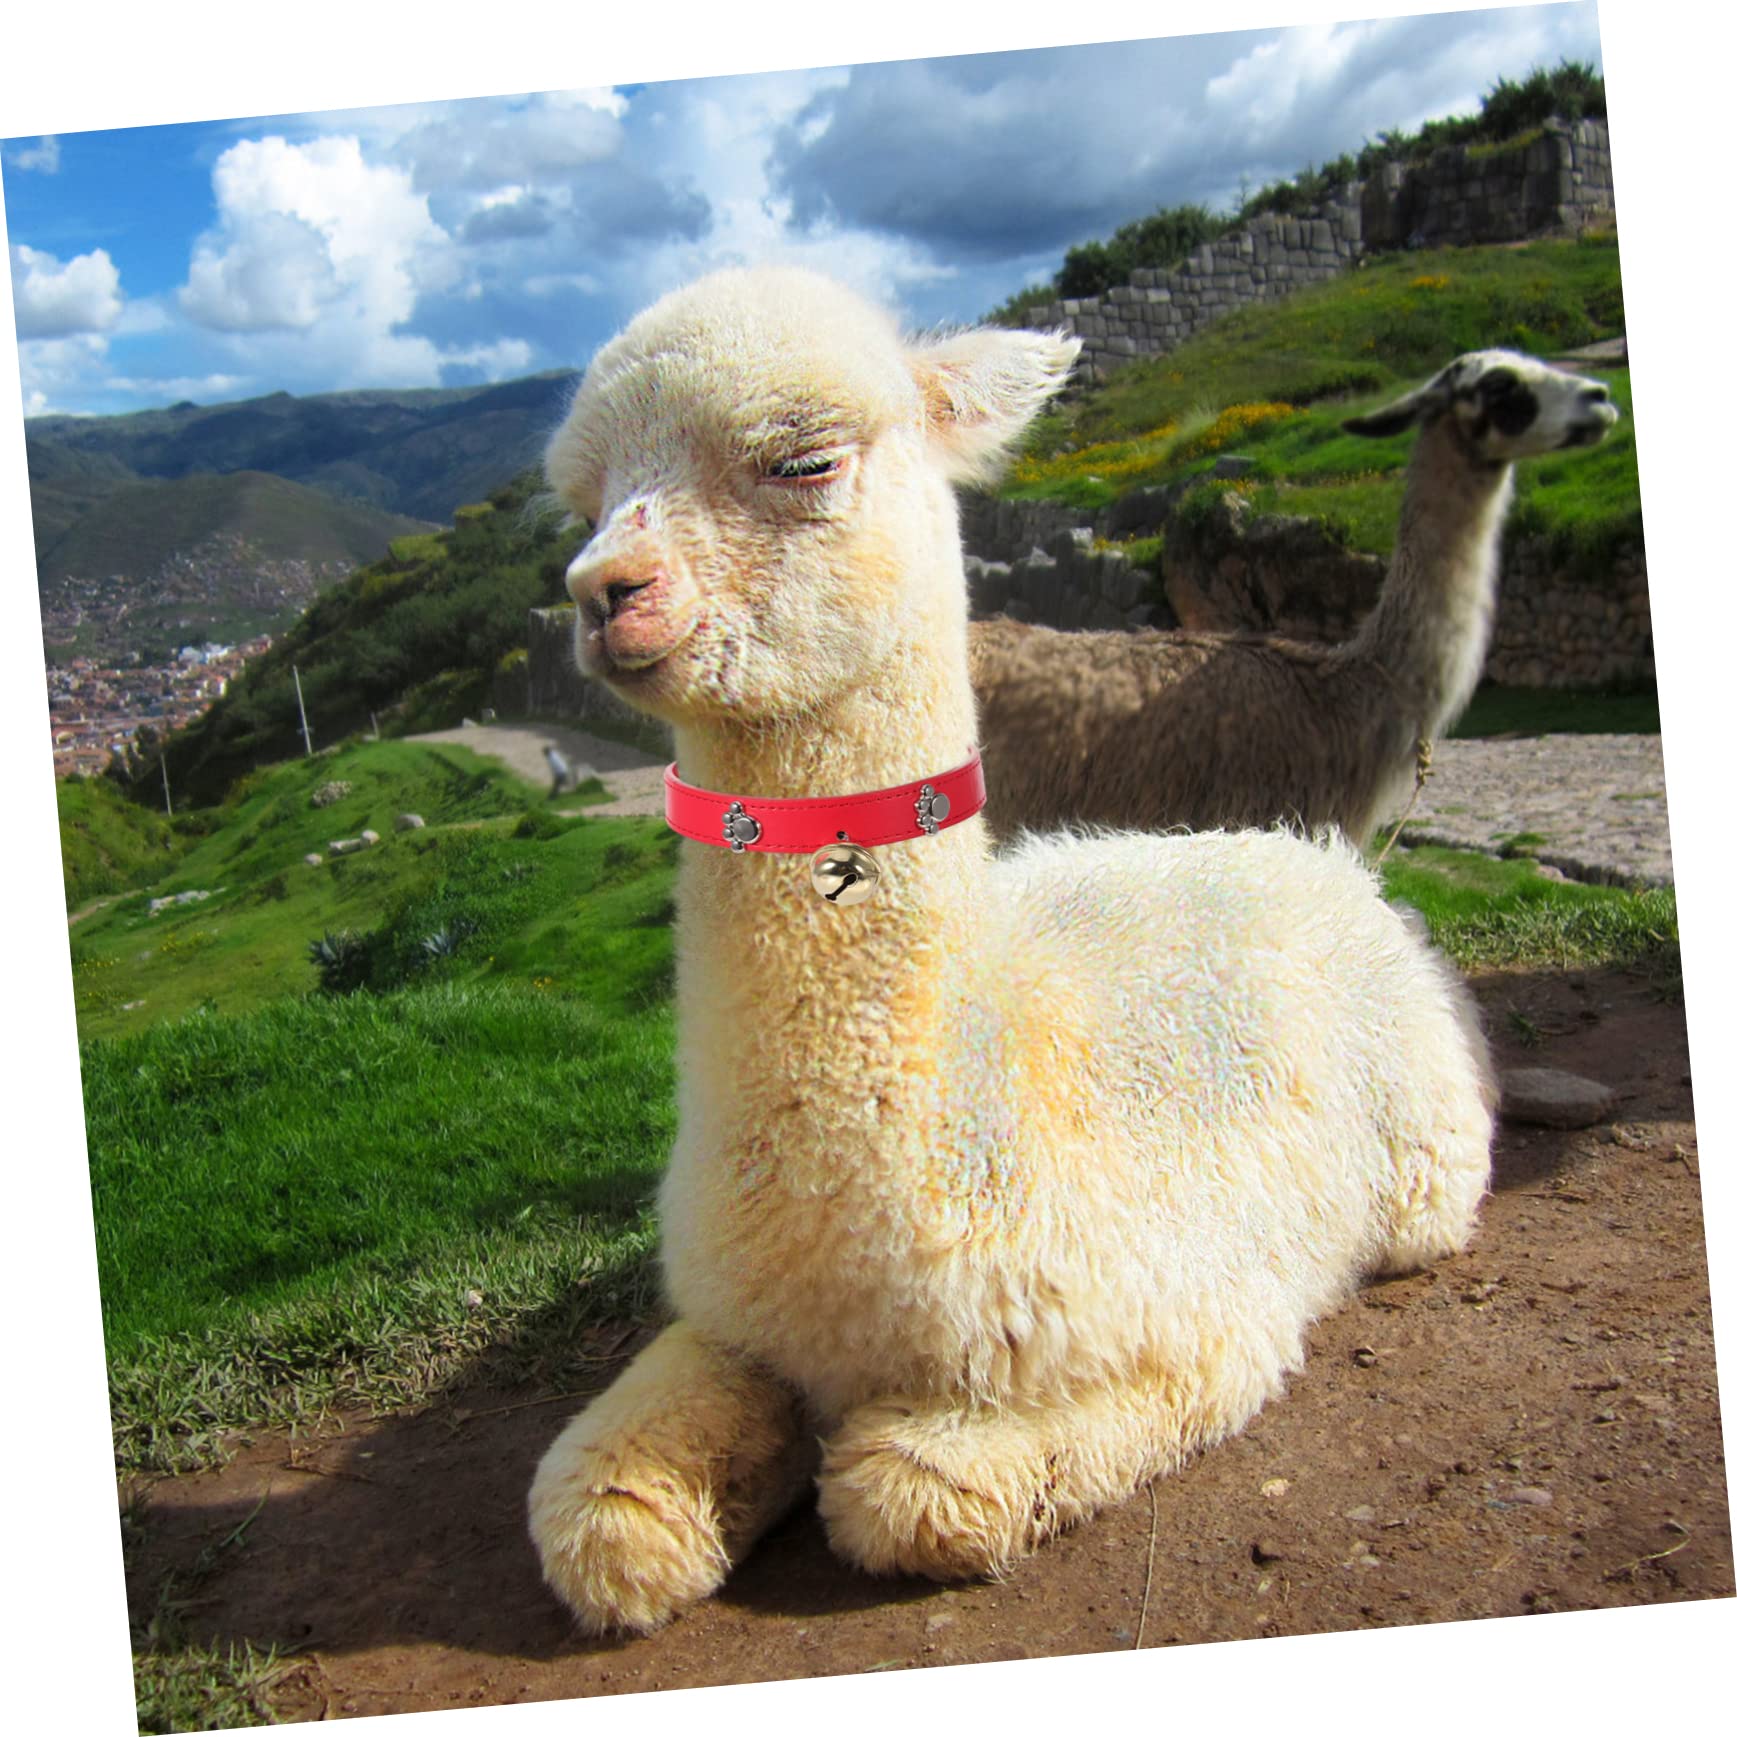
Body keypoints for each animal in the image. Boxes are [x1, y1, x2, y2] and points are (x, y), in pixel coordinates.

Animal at [527, 267, 1495, 1635]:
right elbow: (604, 1511)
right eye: (584, 500)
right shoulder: (731, 1319)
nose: (603, 592)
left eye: (803, 459)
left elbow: (912, 1489)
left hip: (1423, 1160)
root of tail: (1298, 849)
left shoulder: (1193, 1319)